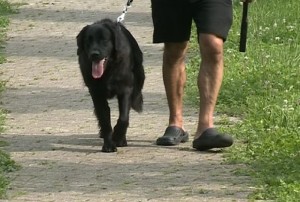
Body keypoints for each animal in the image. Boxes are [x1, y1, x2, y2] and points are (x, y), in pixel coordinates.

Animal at [76, 19, 144, 152]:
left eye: (104, 39)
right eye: (88, 40)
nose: (94, 54)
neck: (108, 70)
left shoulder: (125, 89)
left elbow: (123, 117)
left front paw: (118, 137)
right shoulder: (96, 93)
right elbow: (104, 119)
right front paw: (108, 145)